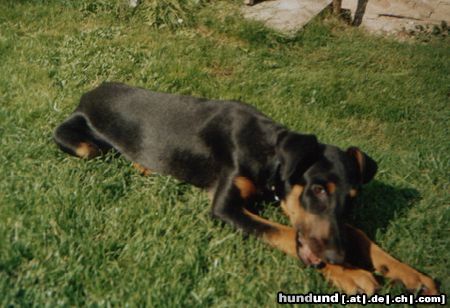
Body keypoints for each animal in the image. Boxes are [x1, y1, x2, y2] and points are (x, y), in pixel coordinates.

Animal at [54, 83, 438, 294]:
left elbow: (358, 233)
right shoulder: (225, 208)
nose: (336, 257)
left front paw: (410, 274)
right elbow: (288, 234)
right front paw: (352, 275)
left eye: (352, 200)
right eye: (317, 189)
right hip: (84, 144)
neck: (269, 152)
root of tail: (87, 94)